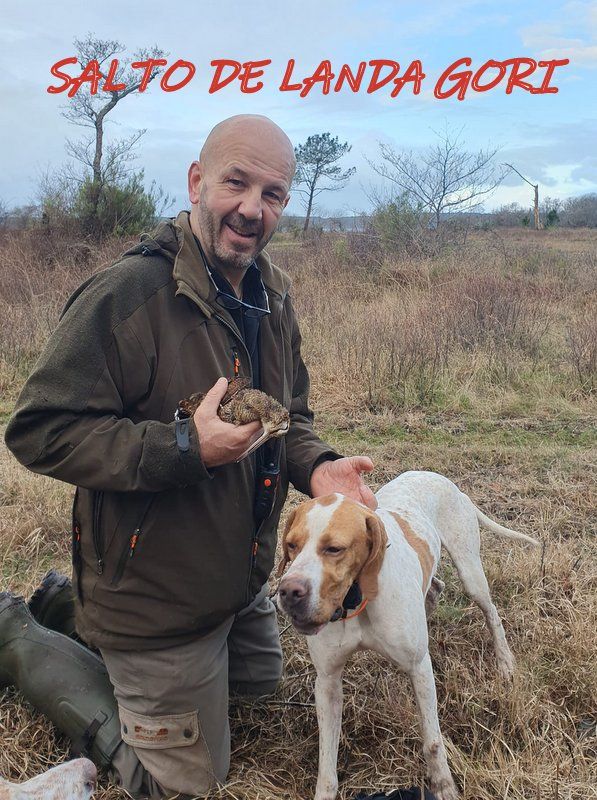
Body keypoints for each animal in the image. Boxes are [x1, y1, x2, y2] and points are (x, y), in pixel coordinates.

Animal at [276, 468, 540, 800]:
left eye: (334, 549)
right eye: (291, 545)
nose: (288, 592)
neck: (358, 600)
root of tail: (444, 480)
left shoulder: (419, 668)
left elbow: (433, 741)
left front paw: (444, 786)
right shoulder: (327, 682)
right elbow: (327, 763)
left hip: (471, 574)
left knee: (491, 613)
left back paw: (505, 662)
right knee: (435, 587)